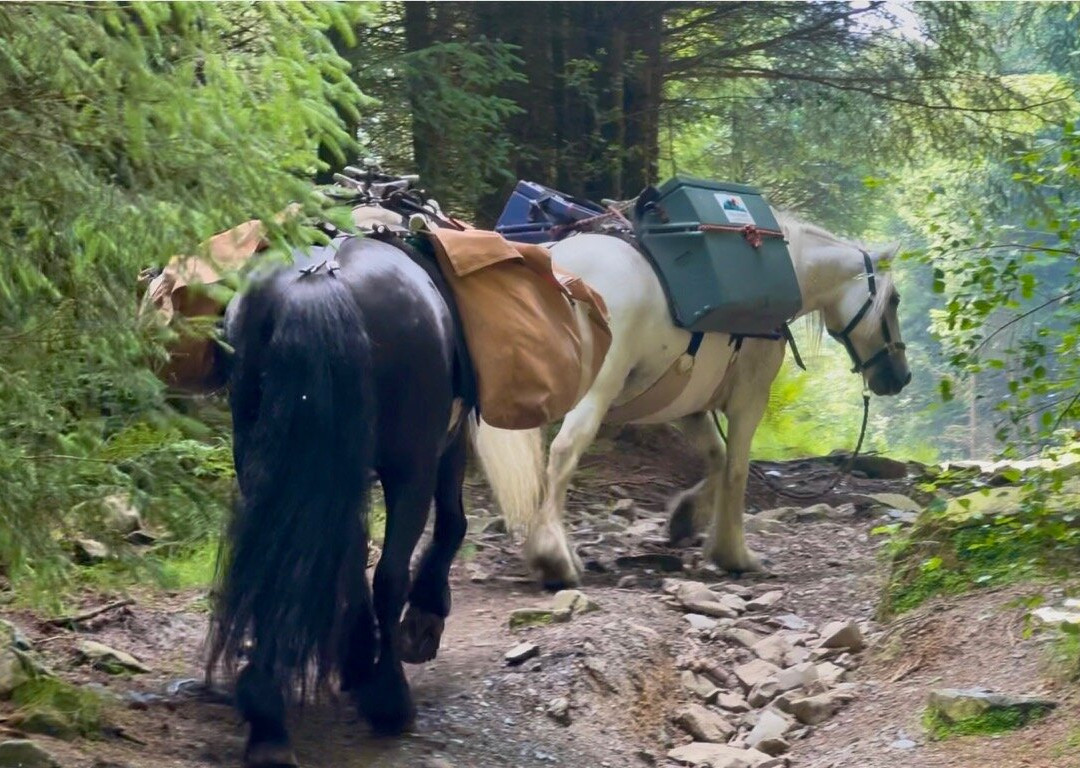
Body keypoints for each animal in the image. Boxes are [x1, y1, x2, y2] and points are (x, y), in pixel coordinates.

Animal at [207, 230, 476, 767]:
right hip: (409, 467)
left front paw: (357, 659)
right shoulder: (445, 443)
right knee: (390, 574)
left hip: (261, 454)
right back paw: (391, 700)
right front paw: (423, 620)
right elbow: (450, 523)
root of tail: (318, 281)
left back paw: (268, 720)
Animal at [473, 208, 912, 589]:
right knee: (565, 451)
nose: (901, 376)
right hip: (596, 389)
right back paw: (555, 558)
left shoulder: (688, 403)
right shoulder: (749, 398)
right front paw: (734, 553)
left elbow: (715, 458)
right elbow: (736, 468)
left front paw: (687, 517)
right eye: (893, 300)